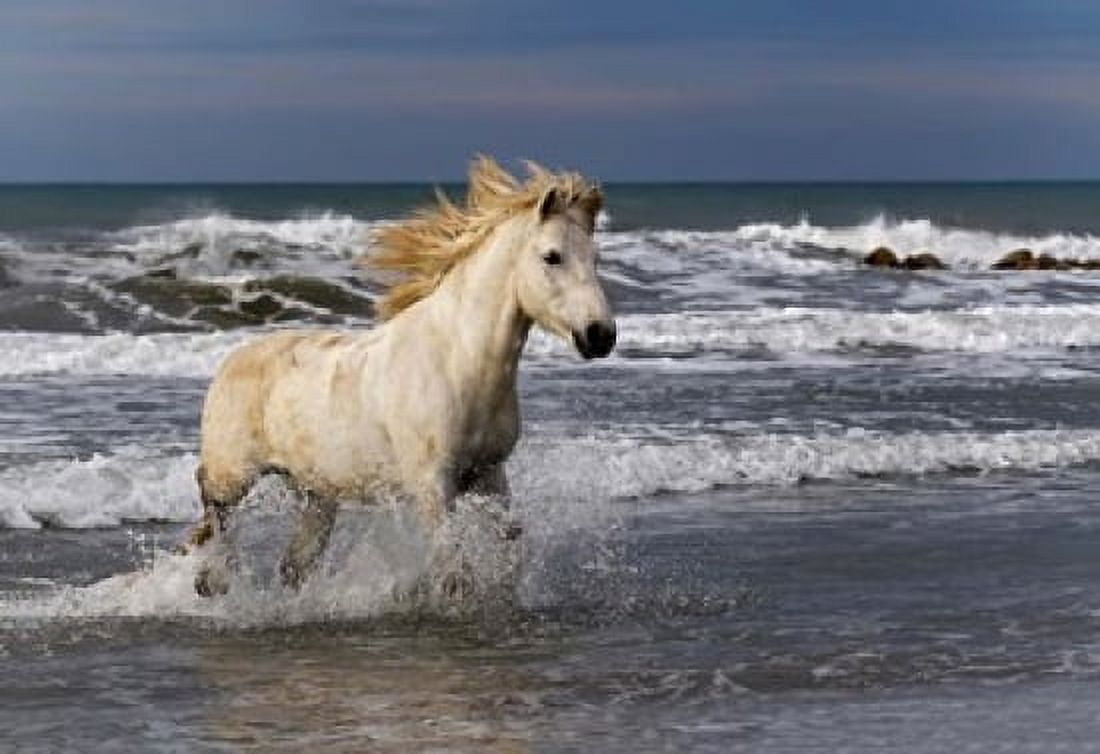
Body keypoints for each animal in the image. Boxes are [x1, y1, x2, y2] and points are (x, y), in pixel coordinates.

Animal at [184, 156, 616, 596]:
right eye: (552, 256)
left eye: (595, 258)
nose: (600, 335)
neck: (456, 360)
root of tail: (229, 363)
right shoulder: (432, 484)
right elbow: (453, 570)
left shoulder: (490, 473)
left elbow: (509, 551)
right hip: (232, 479)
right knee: (213, 521)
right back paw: (214, 579)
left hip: (317, 494)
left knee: (294, 566)